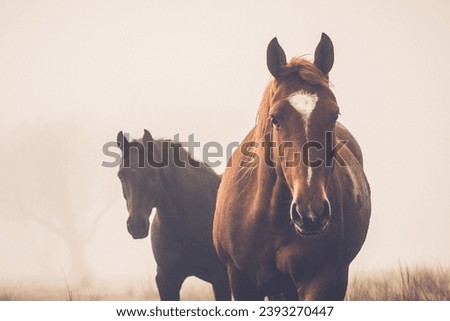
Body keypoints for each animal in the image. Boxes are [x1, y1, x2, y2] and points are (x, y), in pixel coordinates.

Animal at [213, 33, 370, 298]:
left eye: (334, 115)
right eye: (275, 118)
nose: (311, 213)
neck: (270, 219)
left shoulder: (319, 280)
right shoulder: (240, 280)